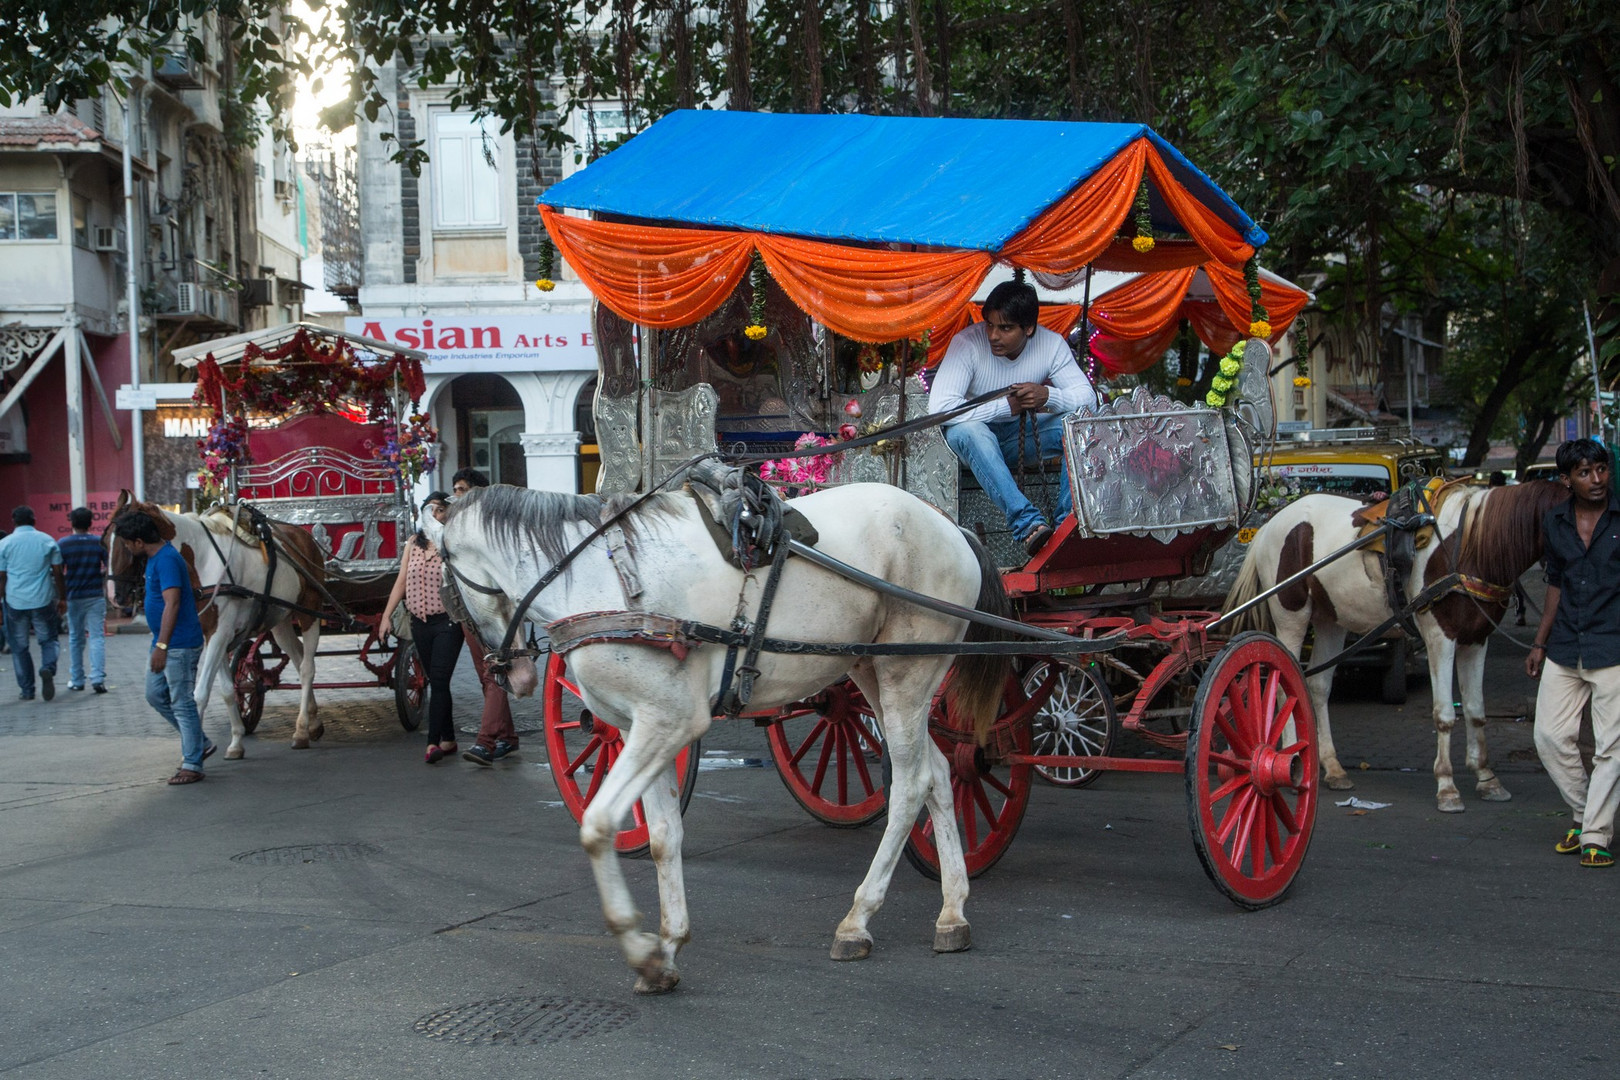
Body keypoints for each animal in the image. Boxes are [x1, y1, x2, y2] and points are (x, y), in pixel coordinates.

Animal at [108, 492, 325, 761]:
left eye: (126, 545)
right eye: (105, 541)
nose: (115, 596)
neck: (200, 560)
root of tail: (303, 535)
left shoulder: (219, 633)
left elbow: (199, 694)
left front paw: (193, 754)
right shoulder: (215, 635)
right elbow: (227, 689)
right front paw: (235, 742)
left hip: (310, 611)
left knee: (307, 668)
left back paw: (302, 730)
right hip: (281, 619)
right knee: (297, 657)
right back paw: (313, 722)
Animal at [430, 482, 1010, 997]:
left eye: (446, 582)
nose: (510, 673)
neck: (599, 577)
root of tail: (951, 526)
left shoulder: (668, 722)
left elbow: (597, 828)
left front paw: (639, 947)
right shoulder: (639, 729)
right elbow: (663, 837)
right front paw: (667, 948)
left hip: (908, 671)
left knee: (910, 785)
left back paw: (858, 919)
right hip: (875, 670)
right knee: (939, 774)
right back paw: (952, 911)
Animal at [1224, 479, 1568, 809]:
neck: (1469, 546)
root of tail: (1270, 523)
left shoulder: (1476, 639)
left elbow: (1475, 710)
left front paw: (1487, 778)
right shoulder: (1440, 637)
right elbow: (1445, 714)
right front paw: (1447, 788)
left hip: (1330, 620)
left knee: (1318, 687)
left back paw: (1332, 768)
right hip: (1290, 615)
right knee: (1285, 686)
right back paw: (1291, 762)